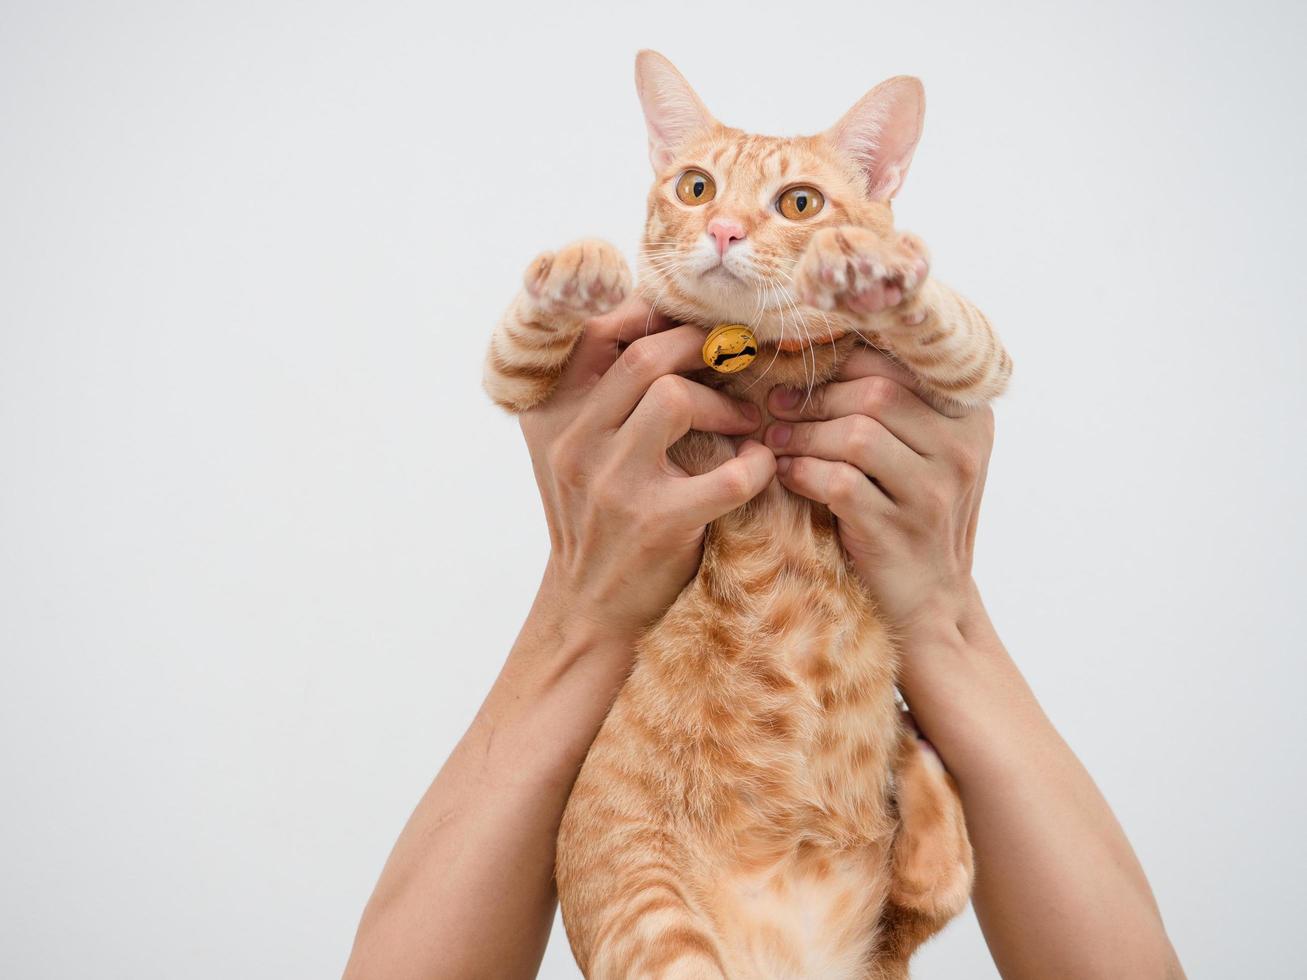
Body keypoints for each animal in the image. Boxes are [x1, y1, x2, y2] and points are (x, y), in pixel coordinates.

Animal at [486, 51, 1003, 980]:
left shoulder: (964, 379)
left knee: (927, 897)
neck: (759, 361)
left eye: (799, 202)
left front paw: (875, 272)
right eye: (695, 187)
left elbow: (951, 329)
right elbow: (522, 341)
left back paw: (919, 773)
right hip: (657, 923)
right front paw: (573, 273)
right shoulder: (525, 384)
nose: (723, 230)